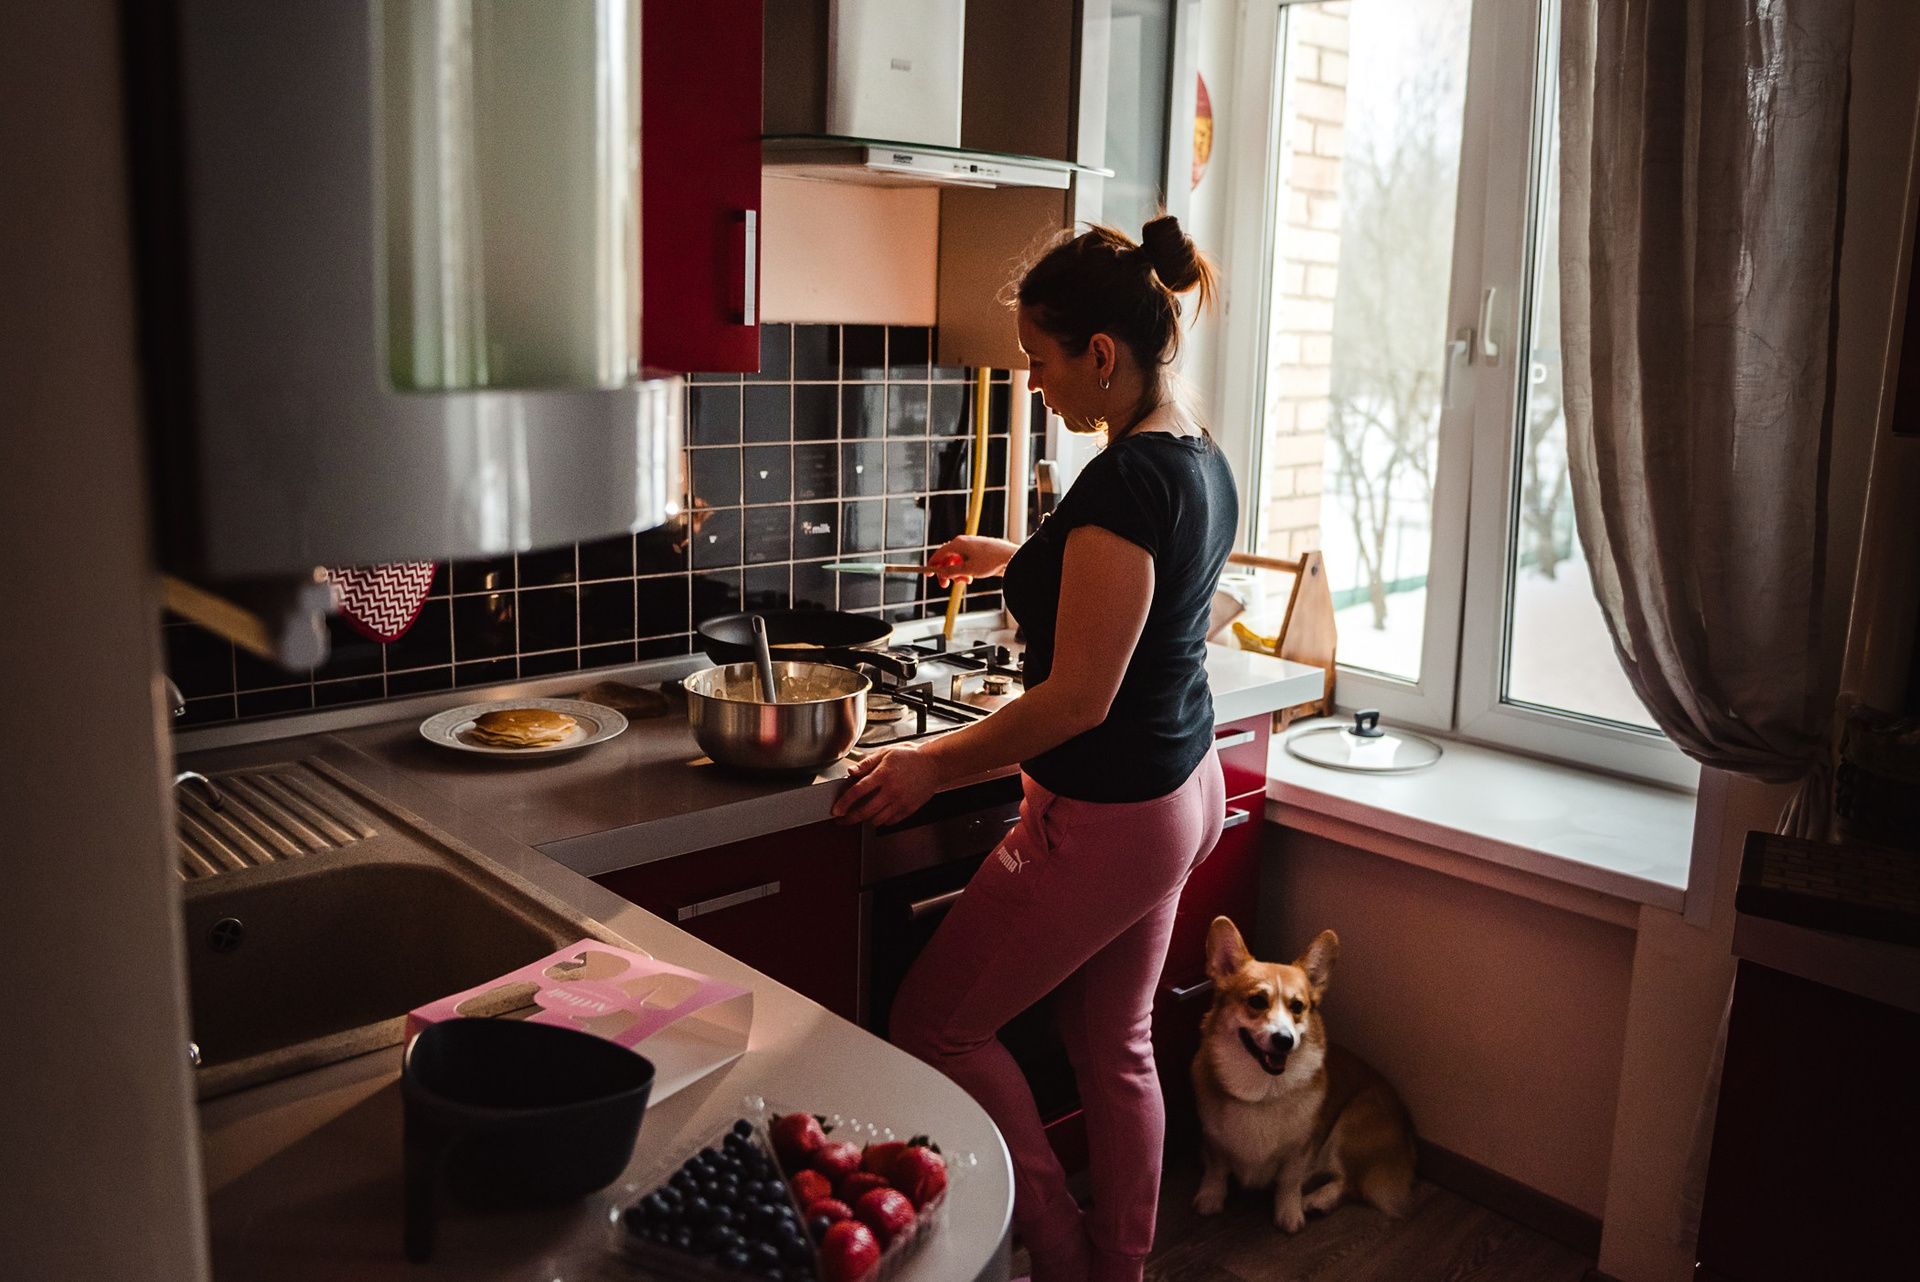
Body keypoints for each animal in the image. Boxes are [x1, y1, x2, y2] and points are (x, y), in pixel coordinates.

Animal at [1190, 916, 1416, 1232]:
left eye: (1297, 1006)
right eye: (1257, 1001)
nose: (1284, 1040)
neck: (1263, 1091)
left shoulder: (1300, 1149)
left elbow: (1288, 1181)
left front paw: (1289, 1214)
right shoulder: (1213, 1138)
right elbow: (1216, 1168)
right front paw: (1210, 1197)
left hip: (1353, 1123)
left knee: (1350, 1183)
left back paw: (1316, 1200)